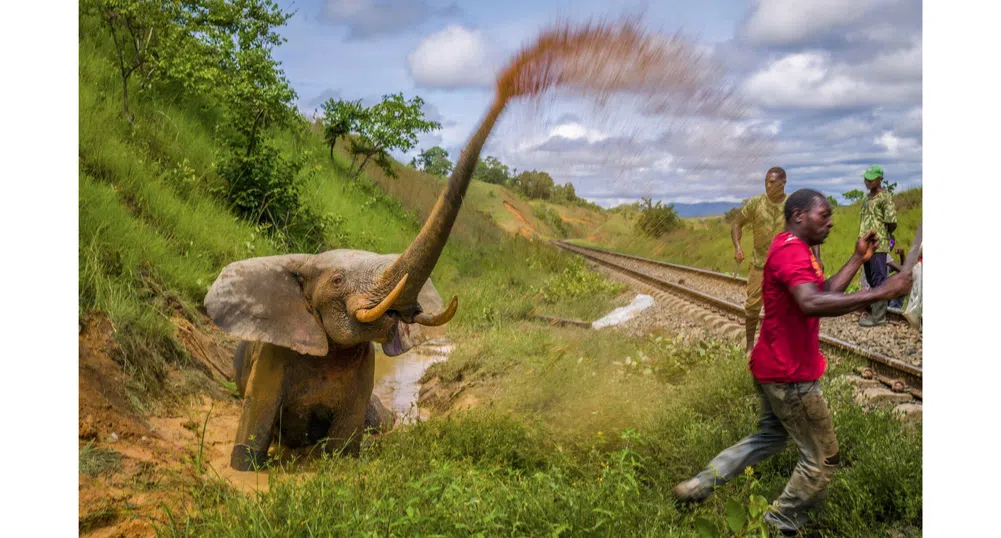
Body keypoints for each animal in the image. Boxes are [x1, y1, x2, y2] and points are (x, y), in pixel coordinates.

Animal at [203, 96, 508, 468]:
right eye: (337, 280)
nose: (506, 91)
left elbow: (344, 448)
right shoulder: (273, 355)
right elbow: (252, 434)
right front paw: (245, 468)